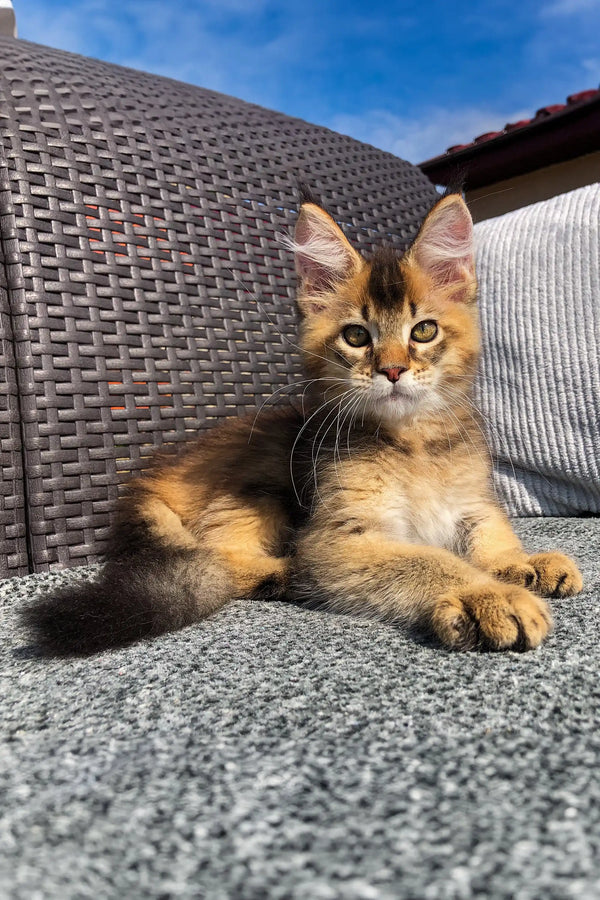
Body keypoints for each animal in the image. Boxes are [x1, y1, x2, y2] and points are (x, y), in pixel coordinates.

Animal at [23, 192, 580, 652]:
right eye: (356, 337)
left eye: (423, 331)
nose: (392, 370)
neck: (413, 443)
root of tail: (156, 475)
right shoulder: (338, 537)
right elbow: (430, 559)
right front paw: (485, 594)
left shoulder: (472, 504)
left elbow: (493, 534)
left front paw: (523, 565)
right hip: (259, 490)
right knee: (216, 560)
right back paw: (282, 574)